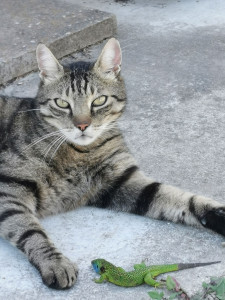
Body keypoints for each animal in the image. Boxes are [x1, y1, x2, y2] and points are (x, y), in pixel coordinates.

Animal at [0, 38, 225, 290]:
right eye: (62, 103)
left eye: (99, 101)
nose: (82, 126)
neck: (81, 152)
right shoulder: (8, 188)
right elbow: (29, 230)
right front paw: (55, 263)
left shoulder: (122, 179)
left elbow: (184, 199)